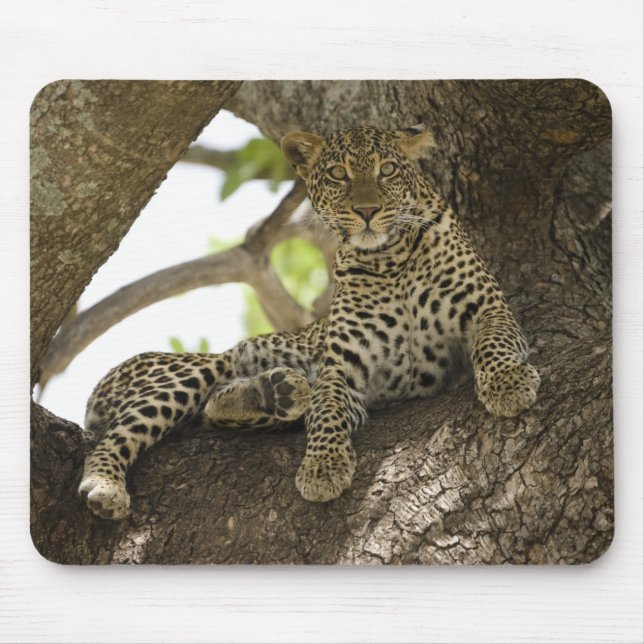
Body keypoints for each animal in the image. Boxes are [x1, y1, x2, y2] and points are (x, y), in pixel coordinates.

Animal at [78, 124, 540, 520]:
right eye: (338, 174)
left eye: (387, 170)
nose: (367, 210)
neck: (389, 260)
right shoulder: (342, 368)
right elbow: (327, 410)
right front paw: (323, 466)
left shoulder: (487, 307)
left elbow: (494, 343)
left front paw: (508, 384)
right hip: (190, 370)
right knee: (121, 434)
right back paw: (105, 486)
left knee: (216, 408)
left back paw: (275, 391)